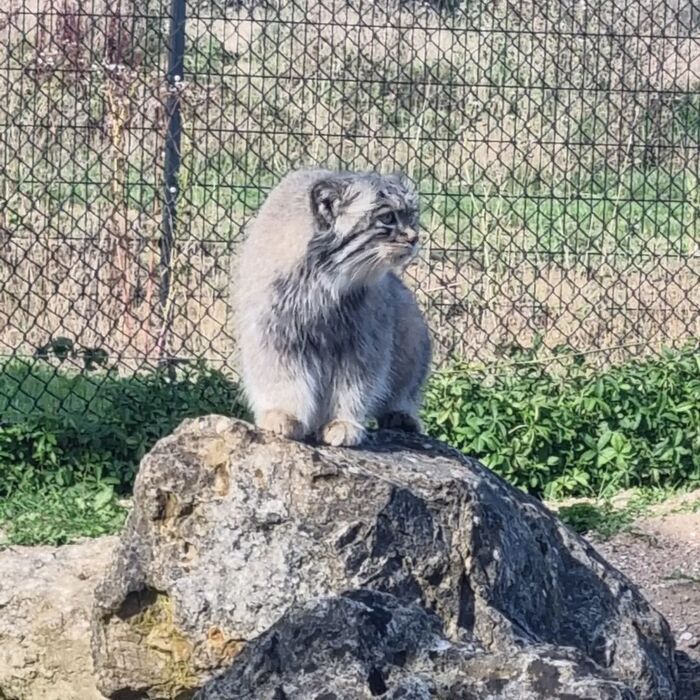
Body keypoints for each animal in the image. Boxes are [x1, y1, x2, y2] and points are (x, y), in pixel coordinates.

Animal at [235, 167, 432, 446]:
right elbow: (283, 380)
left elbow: (353, 388)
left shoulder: (362, 342)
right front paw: (284, 414)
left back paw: (401, 416)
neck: (324, 284)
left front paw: (342, 423)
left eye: (412, 217)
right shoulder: (275, 334)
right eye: (387, 217)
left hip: (413, 333)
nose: (415, 238)